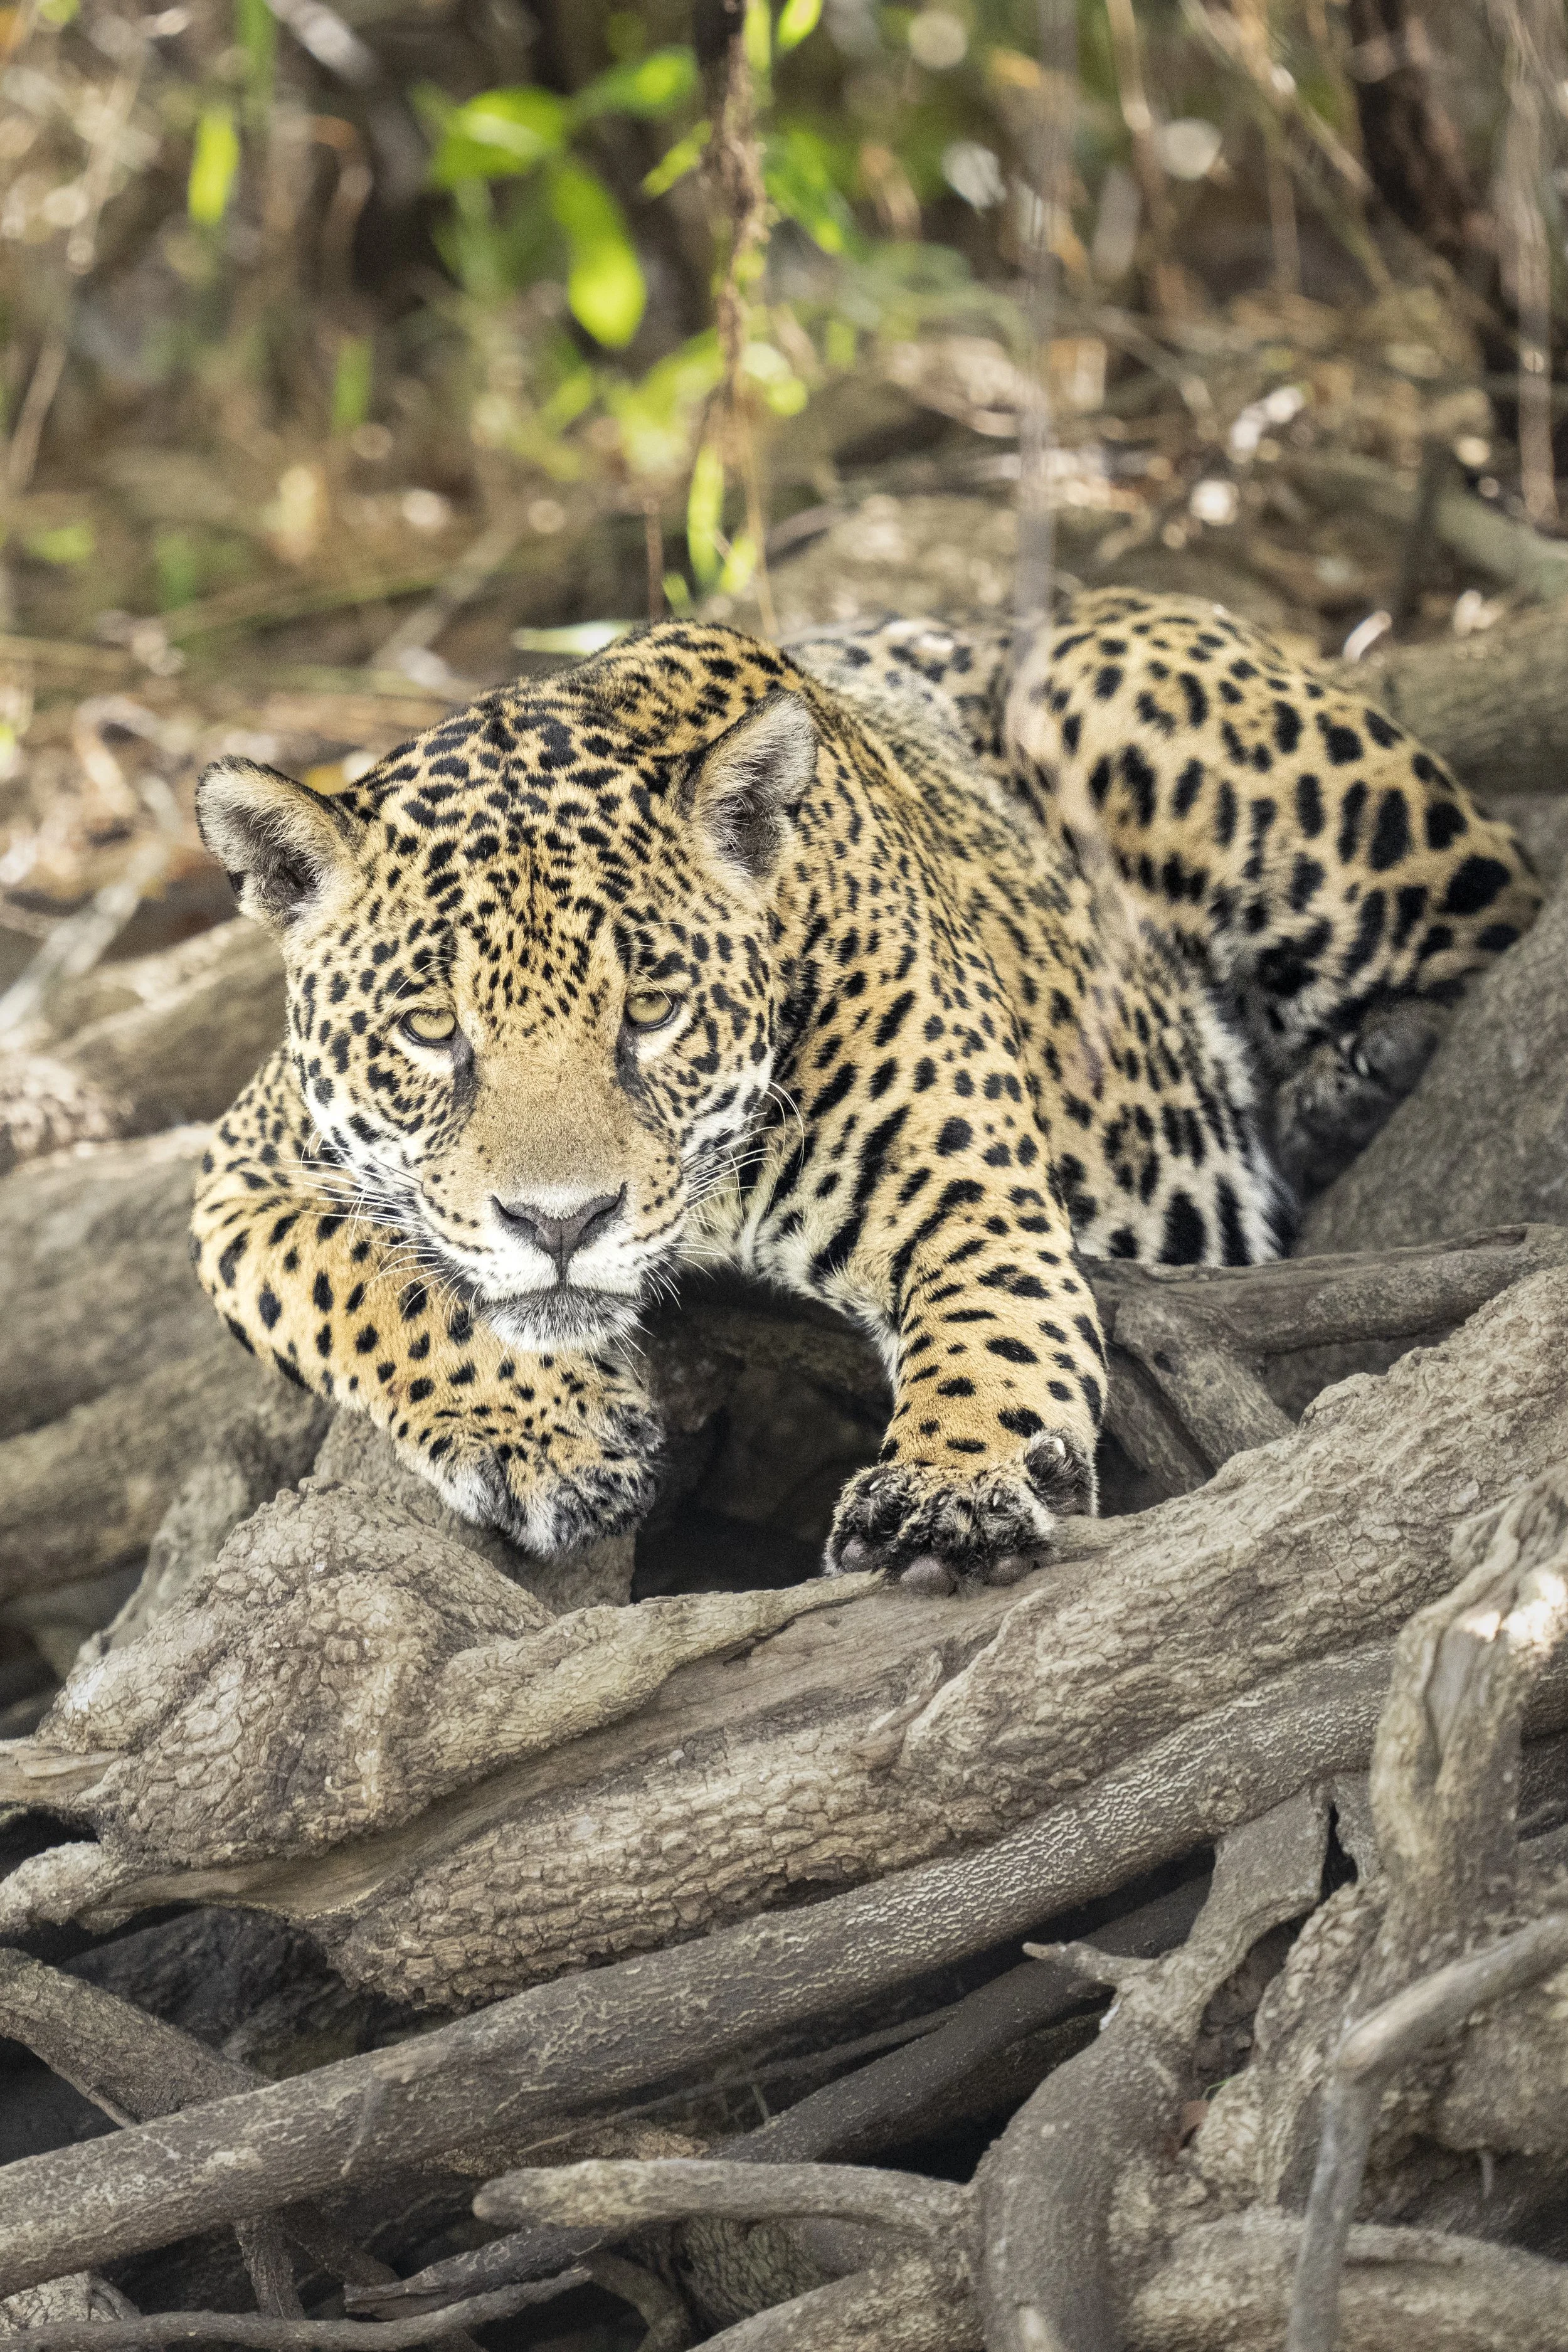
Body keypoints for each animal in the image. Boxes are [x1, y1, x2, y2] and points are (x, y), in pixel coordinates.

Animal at [191, 588, 1540, 1594]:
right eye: (430, 1030)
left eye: (651, 1011)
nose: (562, 1224)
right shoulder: (244, 1171)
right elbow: (371, 1282)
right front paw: (552, 1435)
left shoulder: (969, 1199)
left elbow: (991, 1336)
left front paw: (952, 1491)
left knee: (1507, 903)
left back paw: (1355, 1078)